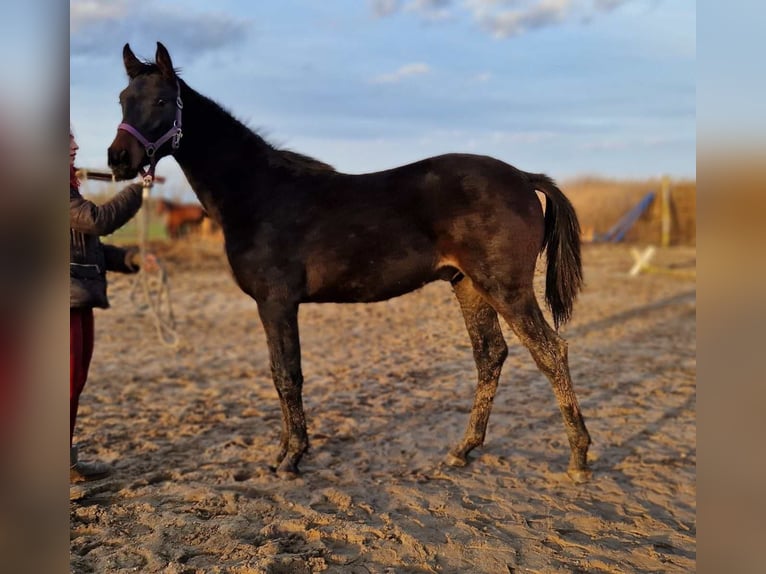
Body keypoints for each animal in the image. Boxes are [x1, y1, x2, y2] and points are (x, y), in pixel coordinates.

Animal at [106, 42, 592, 484]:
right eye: (123, 98)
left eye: (163, 101)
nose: (118, 159)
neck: (258, 194)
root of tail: (523, 177)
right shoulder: (271, 307)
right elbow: (278, 374)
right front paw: (281, 452)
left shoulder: (277, 302)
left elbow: (288, 375)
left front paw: (292, 458)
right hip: (469, 285)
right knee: (490, 356)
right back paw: (462, 450)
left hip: (505, 287)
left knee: (550, 352)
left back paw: (578, 458)